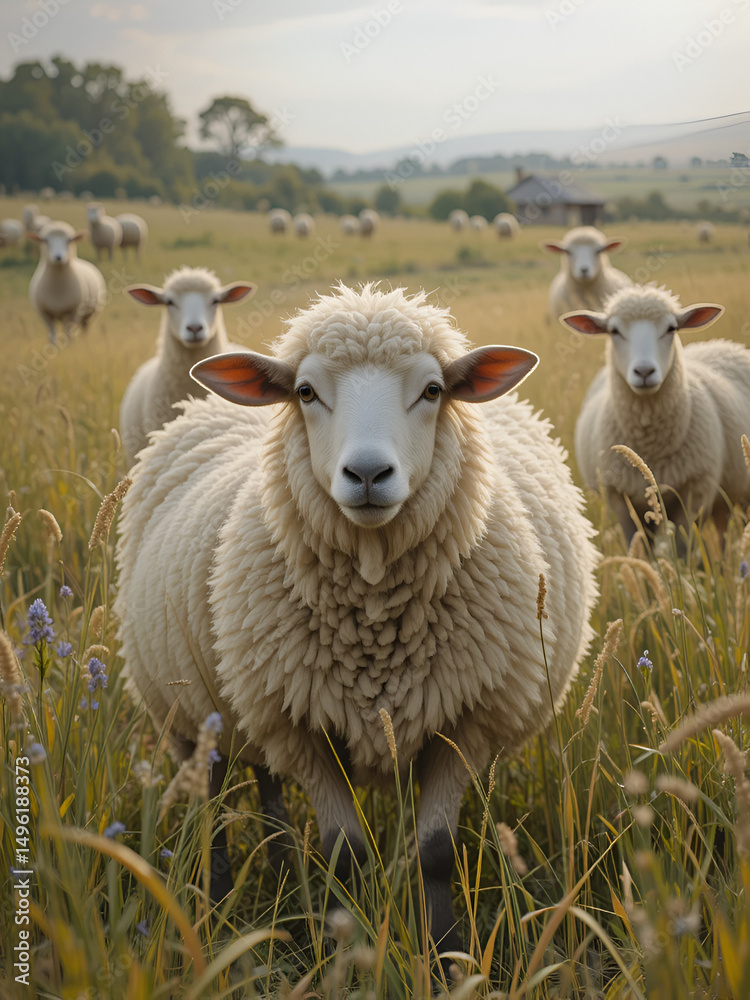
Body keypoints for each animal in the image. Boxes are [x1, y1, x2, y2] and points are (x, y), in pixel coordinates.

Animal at [560, 283, 750, 546]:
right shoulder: (620, 499)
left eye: (671, 328)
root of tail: (721, 344)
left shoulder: (695, 493)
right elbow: (637, 546)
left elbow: (681, 546)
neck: (650, 445)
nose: (644, 371)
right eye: (614, 331)